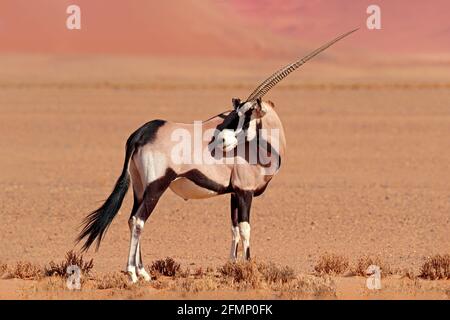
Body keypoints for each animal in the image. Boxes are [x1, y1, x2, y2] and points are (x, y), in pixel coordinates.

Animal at [78, 28, 358, 282]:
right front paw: (249, 268)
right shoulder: (245, 192)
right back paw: (134, 274)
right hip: (156, 185)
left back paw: (143, 272)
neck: (262, 146)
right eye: (237, 113)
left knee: (131, 219)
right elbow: (245, 229)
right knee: (138, 220)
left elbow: (233, 229)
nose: (221, 140)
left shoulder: (234, 192)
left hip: (139, 187)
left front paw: (232, 267)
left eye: (247, 115)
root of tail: (141, 133)